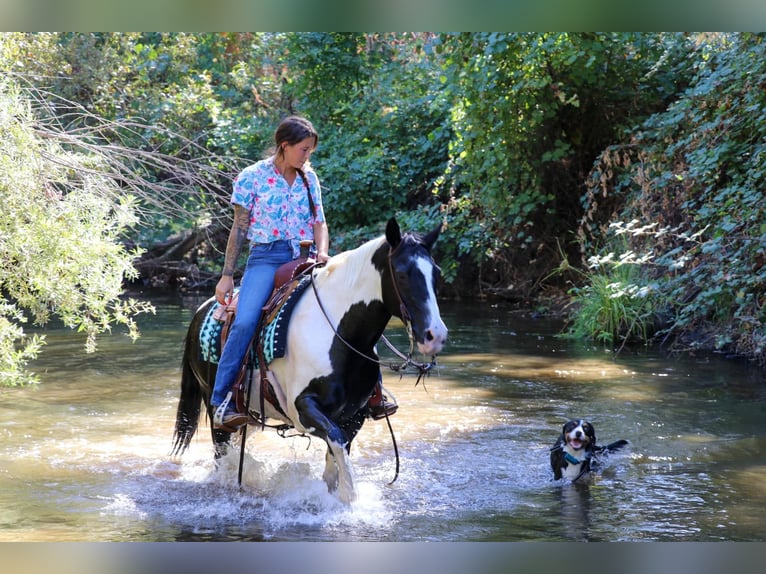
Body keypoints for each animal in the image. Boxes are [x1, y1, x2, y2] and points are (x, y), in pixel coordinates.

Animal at [171, 217, 448, 503]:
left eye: (436, 273)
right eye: (402, 274)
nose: (435, 335)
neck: (337, 331)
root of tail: (203, 308)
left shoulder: (354, 415)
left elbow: (338, 452)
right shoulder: (304, 408)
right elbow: (336, 442)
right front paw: (350, 499)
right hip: (213, 406)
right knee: (221, 453)